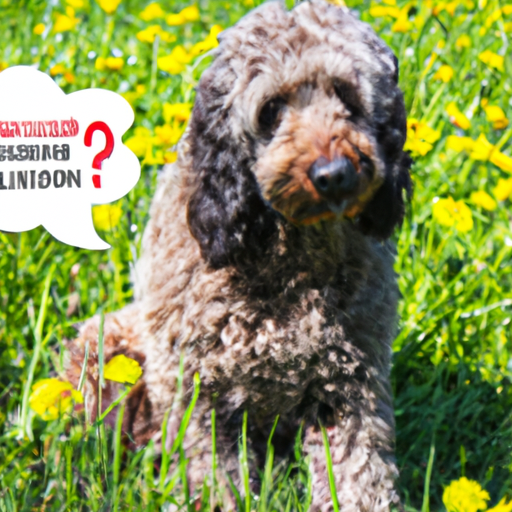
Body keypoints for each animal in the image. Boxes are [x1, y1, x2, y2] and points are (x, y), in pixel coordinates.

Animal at [67, 2, 412, 510]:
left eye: (348, 97)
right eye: (271, 110)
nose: (334, 174)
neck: (290, 258)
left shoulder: (351, 383)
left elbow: (360, 475)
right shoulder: (197, 391)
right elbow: (214, 473)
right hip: (105, 350)